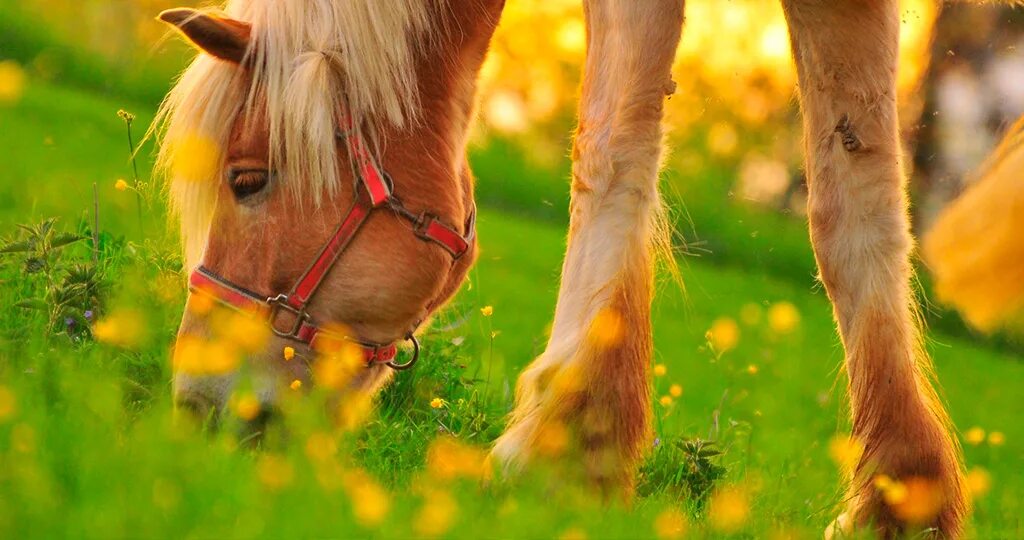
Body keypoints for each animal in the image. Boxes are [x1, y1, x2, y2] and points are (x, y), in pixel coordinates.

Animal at [153, 0, 983, 536]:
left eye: (247, 180)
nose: (196, 405)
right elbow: (857, 206)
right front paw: (899, 498)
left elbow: (611, 146)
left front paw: (571, 445)